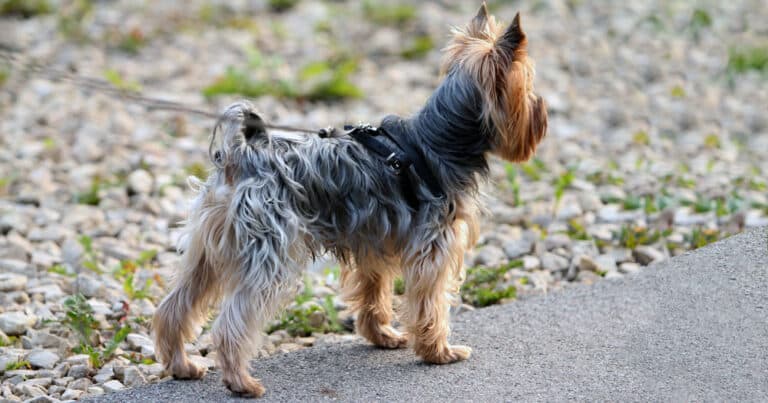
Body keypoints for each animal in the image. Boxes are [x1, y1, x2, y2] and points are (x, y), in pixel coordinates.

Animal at [152, 3, 544, 398]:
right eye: (527, 87)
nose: (542, 110)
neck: (439, 143)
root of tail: (240, 156)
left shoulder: (374, 243)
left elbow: (374, 295)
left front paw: (383, 336)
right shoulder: (434, 249)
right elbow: (429, 305)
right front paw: (439, 352)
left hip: (208, 248)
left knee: (174, 306)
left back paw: (182, 365)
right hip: (269, 252)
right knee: (231, 323)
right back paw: (241, 381)